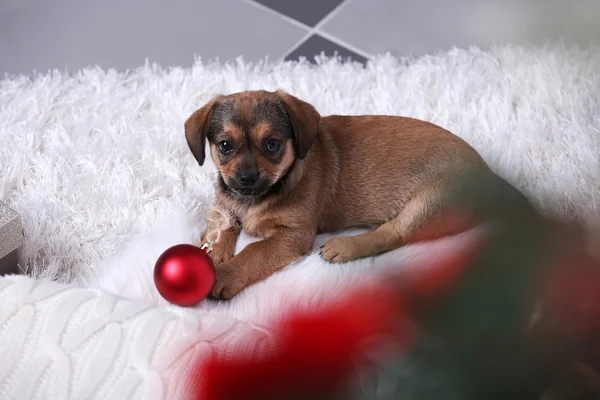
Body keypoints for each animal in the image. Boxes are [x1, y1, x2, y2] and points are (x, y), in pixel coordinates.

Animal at [185, 89, 532, 298]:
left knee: (393, 234)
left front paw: (224, 274)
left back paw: (344, 247)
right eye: (225, 145)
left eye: (272, 144)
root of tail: (490, 177)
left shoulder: (293, 236)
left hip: (429, 201)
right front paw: (215, 249)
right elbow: (224, 221)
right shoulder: (226, 203)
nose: (246, 178)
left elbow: (254, 252)